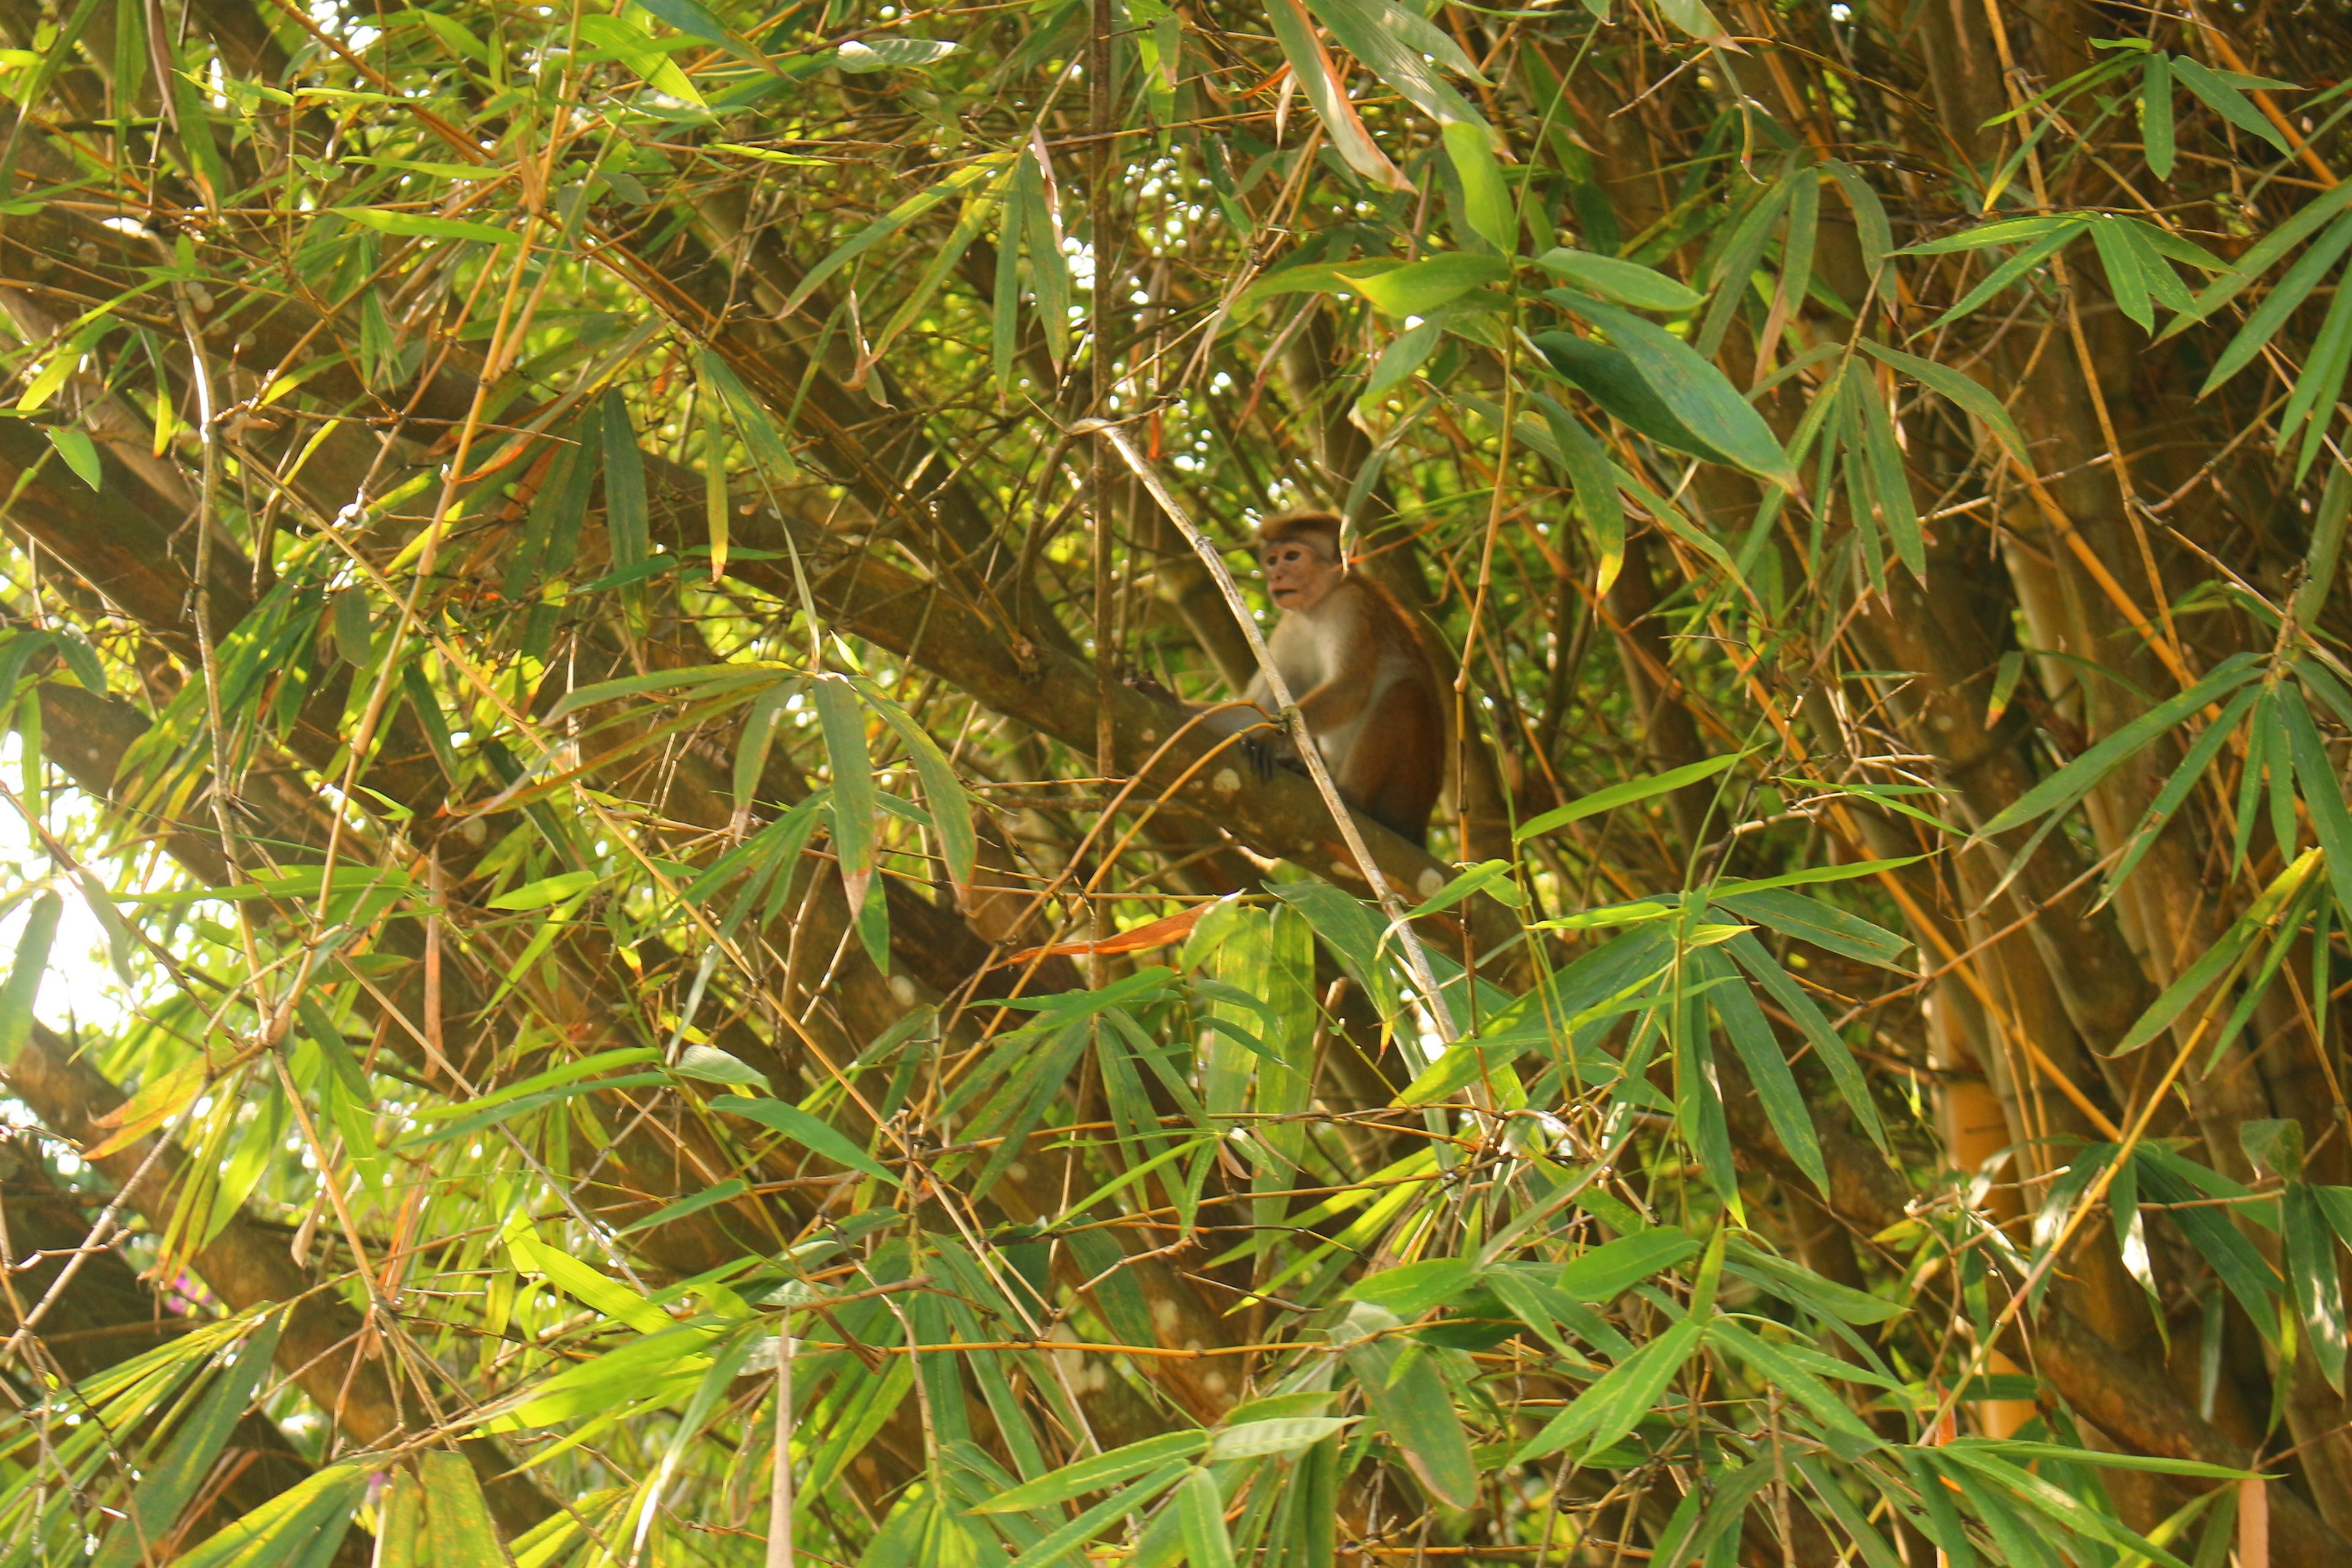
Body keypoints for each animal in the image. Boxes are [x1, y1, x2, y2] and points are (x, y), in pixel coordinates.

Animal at [1142, 511, 1446, 847]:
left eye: (1292, 557)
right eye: (1272, 560)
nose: (1276, 576)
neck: (1317, 607)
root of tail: (1420, 825)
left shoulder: (1351, 606)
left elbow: (1351, 688)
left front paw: (1271, 739)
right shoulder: (1289, 628)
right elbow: (1257, 708)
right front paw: (1164, 697)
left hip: (1407, 794)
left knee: (1406, 693)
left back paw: (1350, 797)